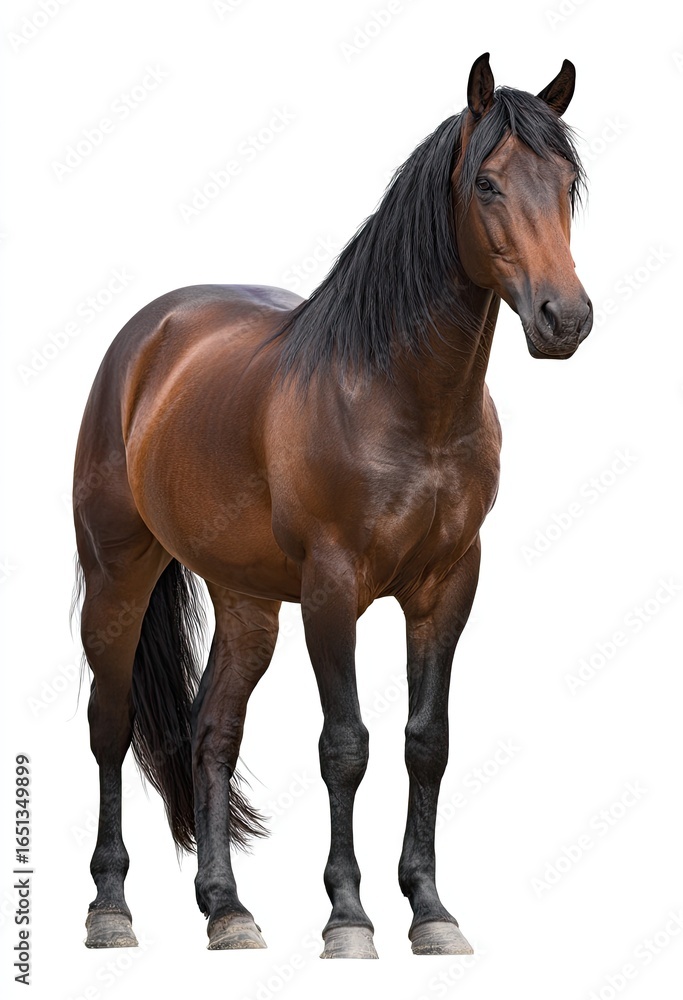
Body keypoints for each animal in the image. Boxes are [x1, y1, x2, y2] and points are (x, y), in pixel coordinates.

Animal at [72, 52, 592, 959]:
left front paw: (430, 911)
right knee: (111, 723)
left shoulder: (447, 587)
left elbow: (427, 743)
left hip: (246, 602)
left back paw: (228, 911)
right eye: (487, 182)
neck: (399, 398)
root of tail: (147, 339)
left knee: (212, 733)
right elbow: (344, 746)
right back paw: (111, 909)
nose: (564, 319)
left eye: (567, 183)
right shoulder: (331, 588)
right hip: (118, 576)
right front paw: (348, 917)